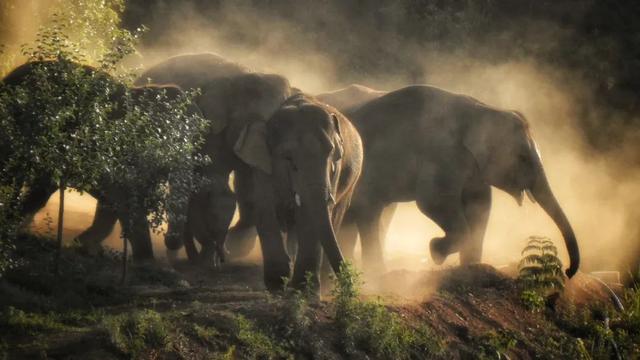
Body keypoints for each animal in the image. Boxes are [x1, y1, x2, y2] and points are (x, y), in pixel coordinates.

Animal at [236, 93, 364, 290]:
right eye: (288, 158)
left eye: (330, 153)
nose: (351, 288)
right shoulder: (262, 167)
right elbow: (265, 209)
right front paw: (277, 283)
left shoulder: (335, 171)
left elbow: (308, 217)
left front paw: (303, 288)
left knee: (335, 215)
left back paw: (324, 282)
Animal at [340, 86, 580, 278]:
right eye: (522, 158)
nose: (568, 271)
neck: (482, 110)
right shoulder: (442, 154)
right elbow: (432, 202)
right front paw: (435, 252)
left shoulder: (473, 167)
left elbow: (481, 205)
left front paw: (471, 267)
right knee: (369, 213)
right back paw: (377, 274)